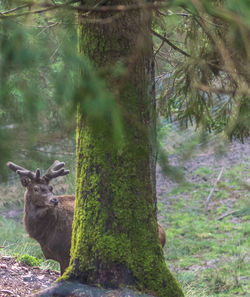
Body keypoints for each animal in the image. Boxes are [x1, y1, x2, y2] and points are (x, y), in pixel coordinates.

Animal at [6, 161, 166, 274]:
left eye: (51, 188)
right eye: (36, 188)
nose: (54, 200)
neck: (43, 234)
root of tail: (163, 234)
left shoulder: (66, 252)